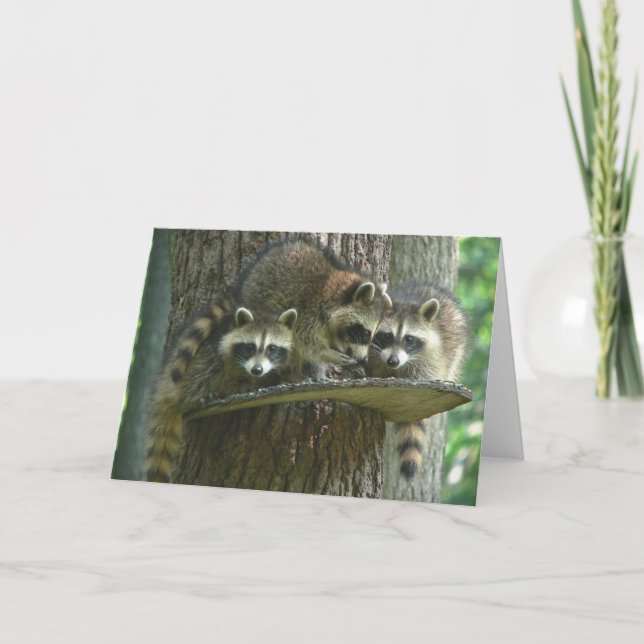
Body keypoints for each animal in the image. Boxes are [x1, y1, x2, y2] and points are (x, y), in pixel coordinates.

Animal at [146, 305, 297, 483]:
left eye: (272, 348)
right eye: (250, 347)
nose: (257, 370)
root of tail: (163, 384)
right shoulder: (224, 347)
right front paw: (245, 385)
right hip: (184, 370)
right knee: (205, 368)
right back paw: (196, 397)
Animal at [367, 281, 468, 480]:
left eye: (409, 339)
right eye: (387, 336)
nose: (393, 361)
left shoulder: (434, 353)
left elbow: (427, 369)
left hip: (457, 346)